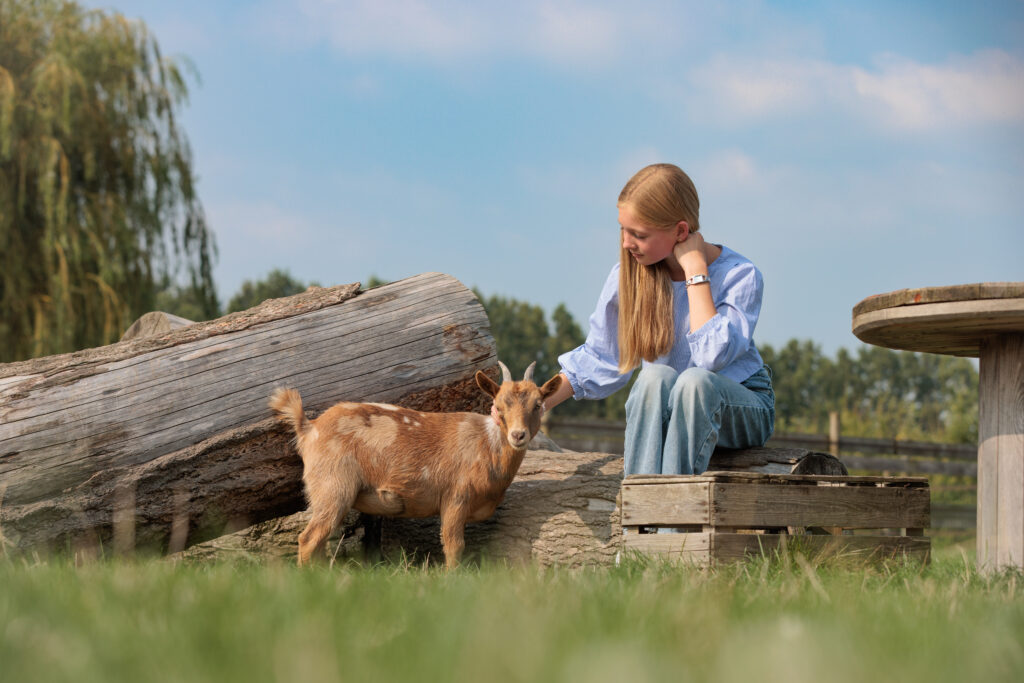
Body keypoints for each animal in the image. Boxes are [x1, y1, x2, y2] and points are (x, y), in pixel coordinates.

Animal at [268, 360, 565, 569]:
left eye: (538, 404)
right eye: (499, 406)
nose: (518, 435)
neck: (487, 445)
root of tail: (309, 427)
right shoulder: (455, 498)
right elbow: (454, 546)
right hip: (333, 487)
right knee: (309, 539)